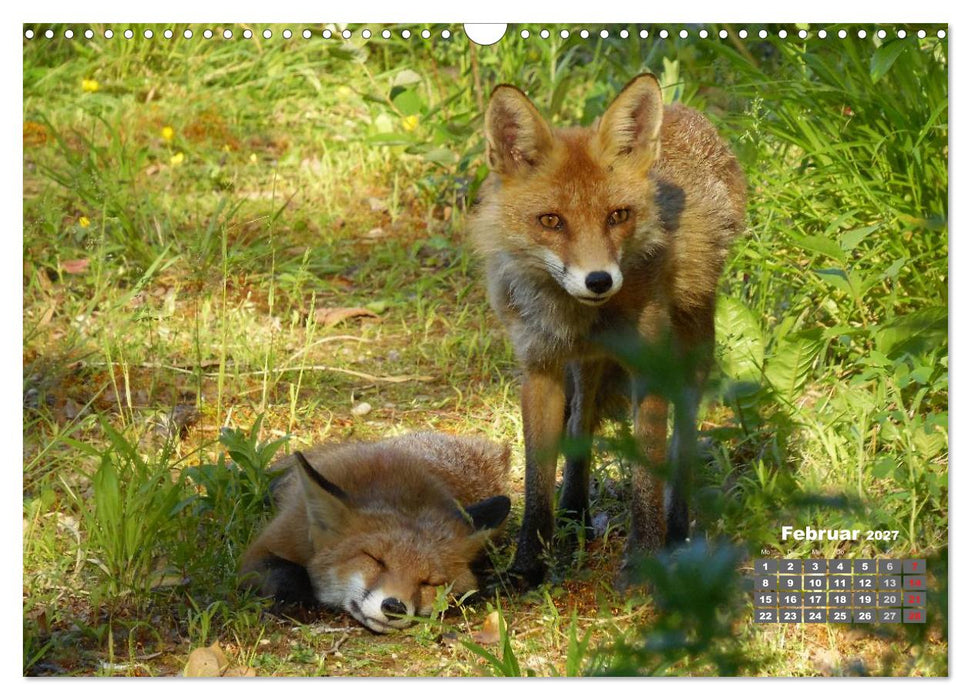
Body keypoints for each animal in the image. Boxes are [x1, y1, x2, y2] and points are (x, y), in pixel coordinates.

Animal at [468, 74, 746, 587]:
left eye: (618, 216)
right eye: (551, 221)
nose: (599, 280)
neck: (578, 317)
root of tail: (686, 110)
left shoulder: (650, 368)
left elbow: (647, 479)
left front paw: (644, 559)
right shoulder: (539, 369)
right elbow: (537, 483)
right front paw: (527, 568)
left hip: (693, 349)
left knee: (681, 446)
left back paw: (677, 531)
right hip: (586, 364)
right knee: (581, 422)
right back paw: (574, 512)